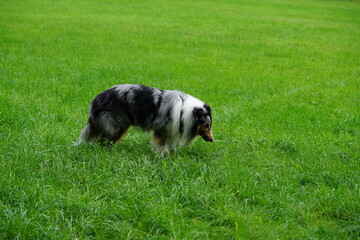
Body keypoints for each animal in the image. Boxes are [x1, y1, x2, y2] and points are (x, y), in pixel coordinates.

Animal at [75, 84, 212, 154]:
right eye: (206, 125)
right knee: (102, 141)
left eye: (210, 125)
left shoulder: (172, 130)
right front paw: (160, 157)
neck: (183, 110)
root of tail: (95, 100)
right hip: (115, 126)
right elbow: (160, 146)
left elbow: (170, 147)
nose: (212, 140)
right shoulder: (162, 130)